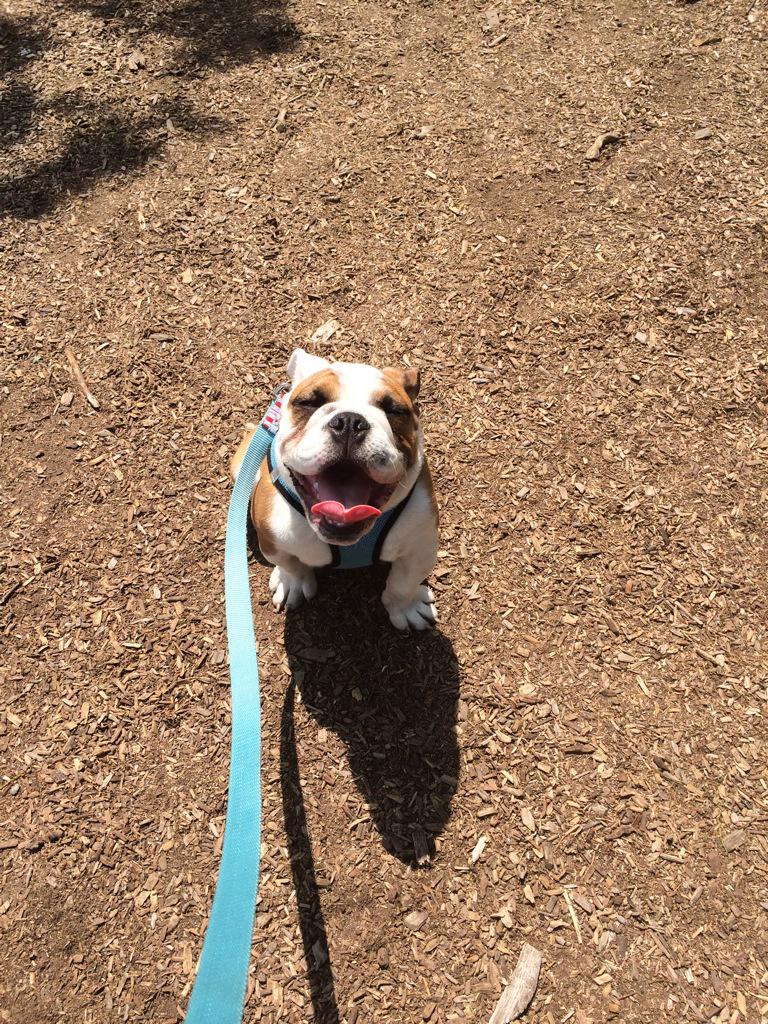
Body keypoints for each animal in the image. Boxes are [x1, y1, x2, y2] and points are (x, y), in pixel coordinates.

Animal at [230, 348, 438, 626]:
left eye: (394, 410)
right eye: (308, 403)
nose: (350, 421)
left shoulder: (420, 549)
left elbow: (403, 585)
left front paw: (406, 608)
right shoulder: (274, 542)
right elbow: (291, 565)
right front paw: (292, 582)